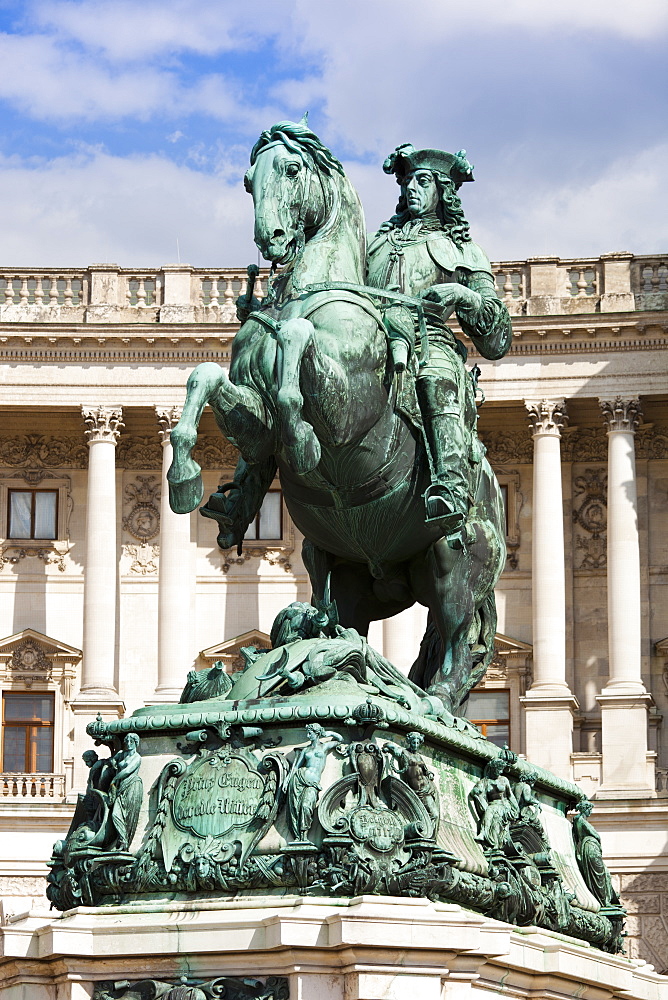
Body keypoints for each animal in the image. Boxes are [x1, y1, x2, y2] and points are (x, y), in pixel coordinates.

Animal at [168, 123, 506, 720]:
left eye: (292, 169)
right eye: (249, 179)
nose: (273, 239)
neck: (307, 295)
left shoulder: (350, 406)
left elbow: (298, 346)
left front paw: (302, 439)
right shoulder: (253, 416)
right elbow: (205, 377)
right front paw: (185, 476)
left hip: (455, 557)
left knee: (457, 639)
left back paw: (437, 703)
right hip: (342, 571)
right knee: (351, 630)